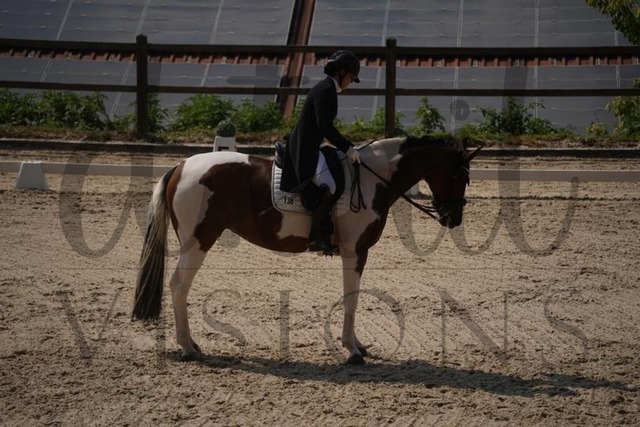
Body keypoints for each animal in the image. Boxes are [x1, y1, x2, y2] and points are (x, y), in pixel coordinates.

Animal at [132, 135, 480, 364]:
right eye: (459, 176)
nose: (454, 218)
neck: (372, 178)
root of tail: (180, 166)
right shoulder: (355, 251)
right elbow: (352, 298)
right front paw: (351, 350)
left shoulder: (356, 252)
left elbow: (353, 296)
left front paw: (357, 344)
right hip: (199, 240)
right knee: (179, 286)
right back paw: (188, 348)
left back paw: (191, 344)